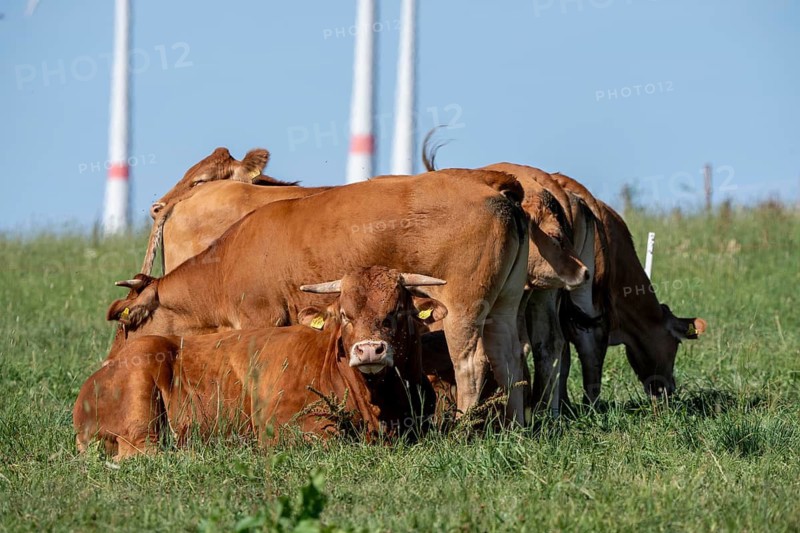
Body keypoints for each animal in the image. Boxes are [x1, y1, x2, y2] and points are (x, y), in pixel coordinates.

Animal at [106, 168, 531, 424]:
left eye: (126, 324)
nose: (111, 364)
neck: (228, 260)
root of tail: (494, 191)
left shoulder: (259, 317)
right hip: (503, 307)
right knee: (510, 361)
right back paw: (516, 426)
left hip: (462, 309)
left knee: (472, 364)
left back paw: (463, 428)